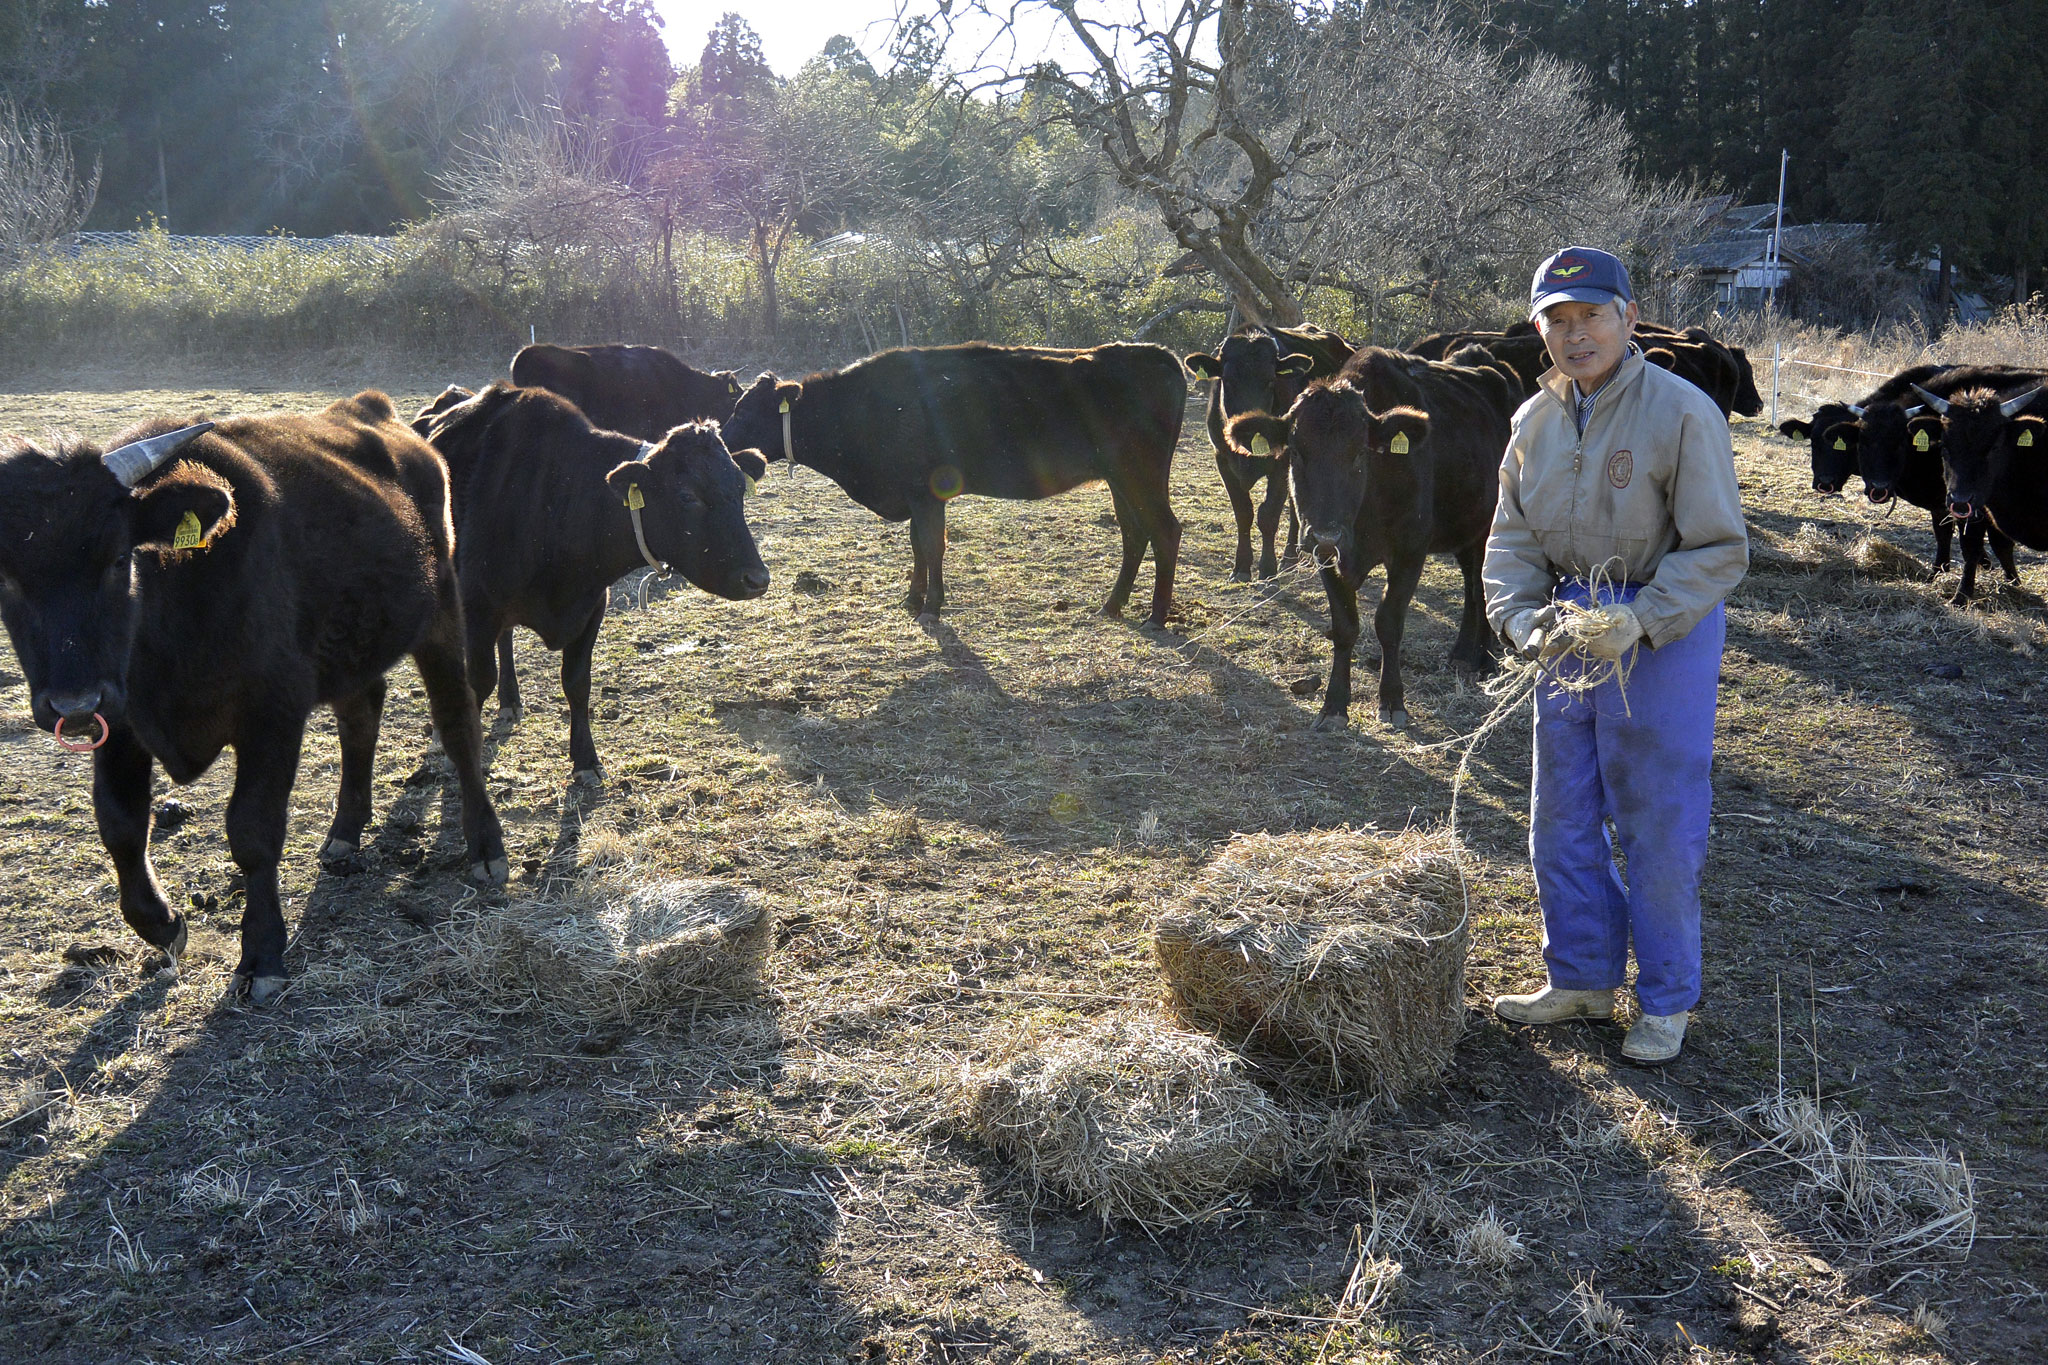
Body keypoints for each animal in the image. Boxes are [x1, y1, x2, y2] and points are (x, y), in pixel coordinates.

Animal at [415, 382, 770, 777]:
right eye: (686, 495)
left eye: (740, 490)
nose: (757, 578)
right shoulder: (478, 607)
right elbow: (478, 682)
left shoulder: (591, 604)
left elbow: (577, 681)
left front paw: (585, 759)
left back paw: (511, 699)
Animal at [720, 341, 1187, 626]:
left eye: (745, 412)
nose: (721, 439)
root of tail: (1155, 354)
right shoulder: (915, 496)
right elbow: (917, 545)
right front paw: (912, 599)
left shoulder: (927, 492)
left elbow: (932, 545)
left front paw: (931, 606)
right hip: (1120, 480)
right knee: (1134, 533)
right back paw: (1112, 605)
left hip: (1140, 474)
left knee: (1164, 529)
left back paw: (1156, 616)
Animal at [1196, 327, 1351, 581]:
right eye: (1227, 381)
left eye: (1270, 381)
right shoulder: (1223, 459)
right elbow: (1243, 512)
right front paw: (1241, 568)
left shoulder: (1283, 462)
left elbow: (1268, 515)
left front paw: (1267, 570)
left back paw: (1289, 557)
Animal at [1212, 347, 1523, 732]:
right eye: (1296, 452)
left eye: (1360, 452)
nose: (1327, 532)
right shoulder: (1326, 555)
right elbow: (1345, 627)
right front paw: (1334, 705)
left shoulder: (1409, 553)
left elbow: (1388, 624)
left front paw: (1392, 701)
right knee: (1471, 579)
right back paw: (1464, 653)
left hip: (1490, 525)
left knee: (1481, 584)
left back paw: (1483, 658)